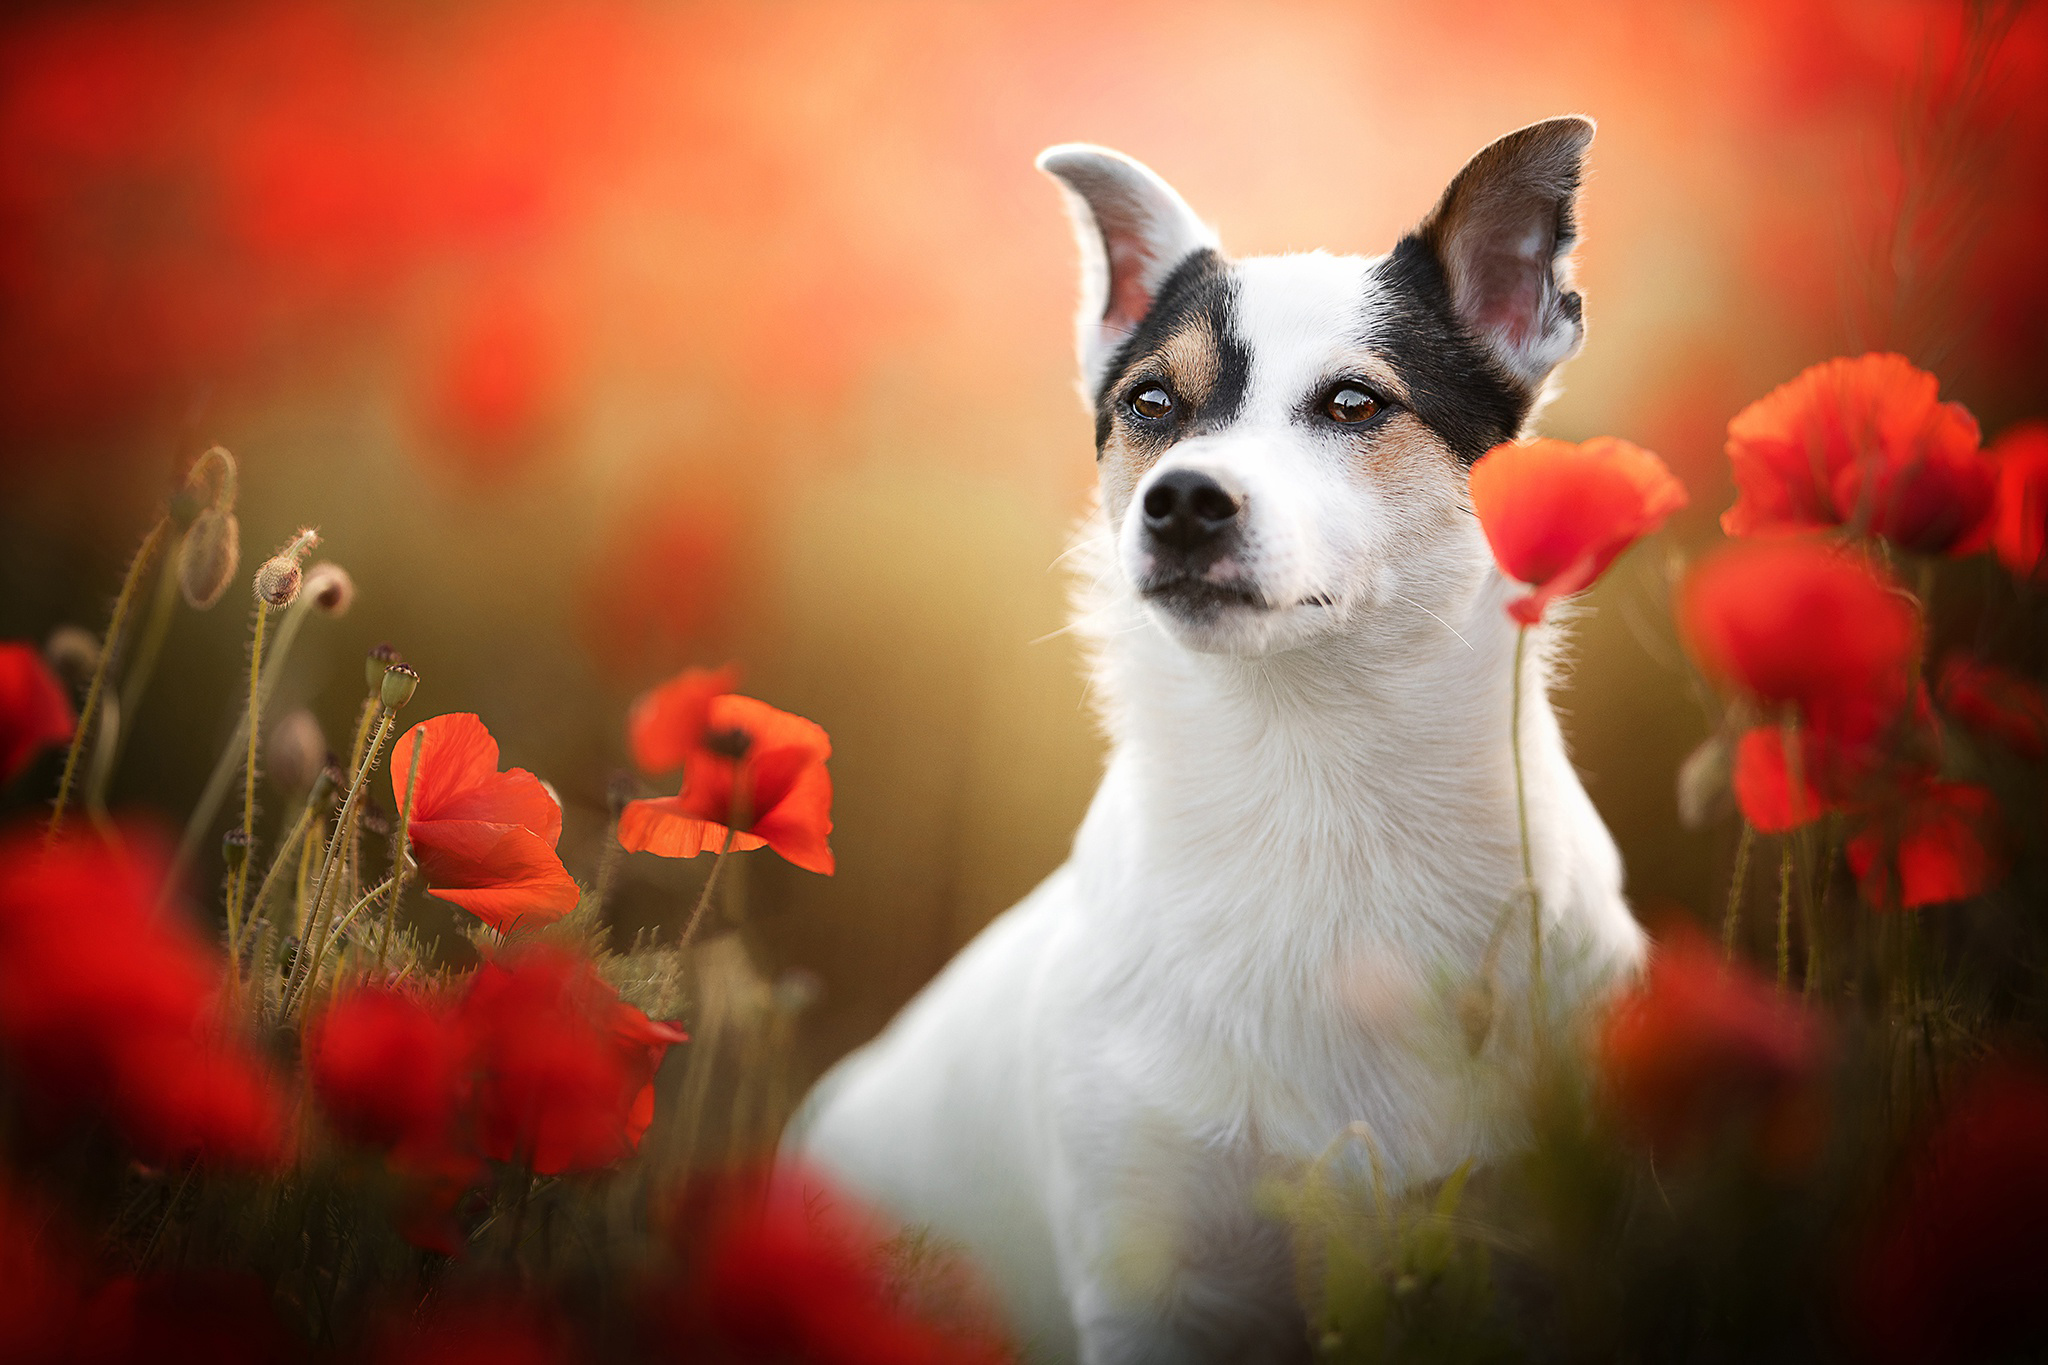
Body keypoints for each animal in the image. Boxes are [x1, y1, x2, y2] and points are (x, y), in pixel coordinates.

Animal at [782, 120, 1646, 1365]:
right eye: (1149, 401)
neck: (1314, 784)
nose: (1182, 501)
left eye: (1352, 403)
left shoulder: (1528, 1246)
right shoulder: (1153, 1276)